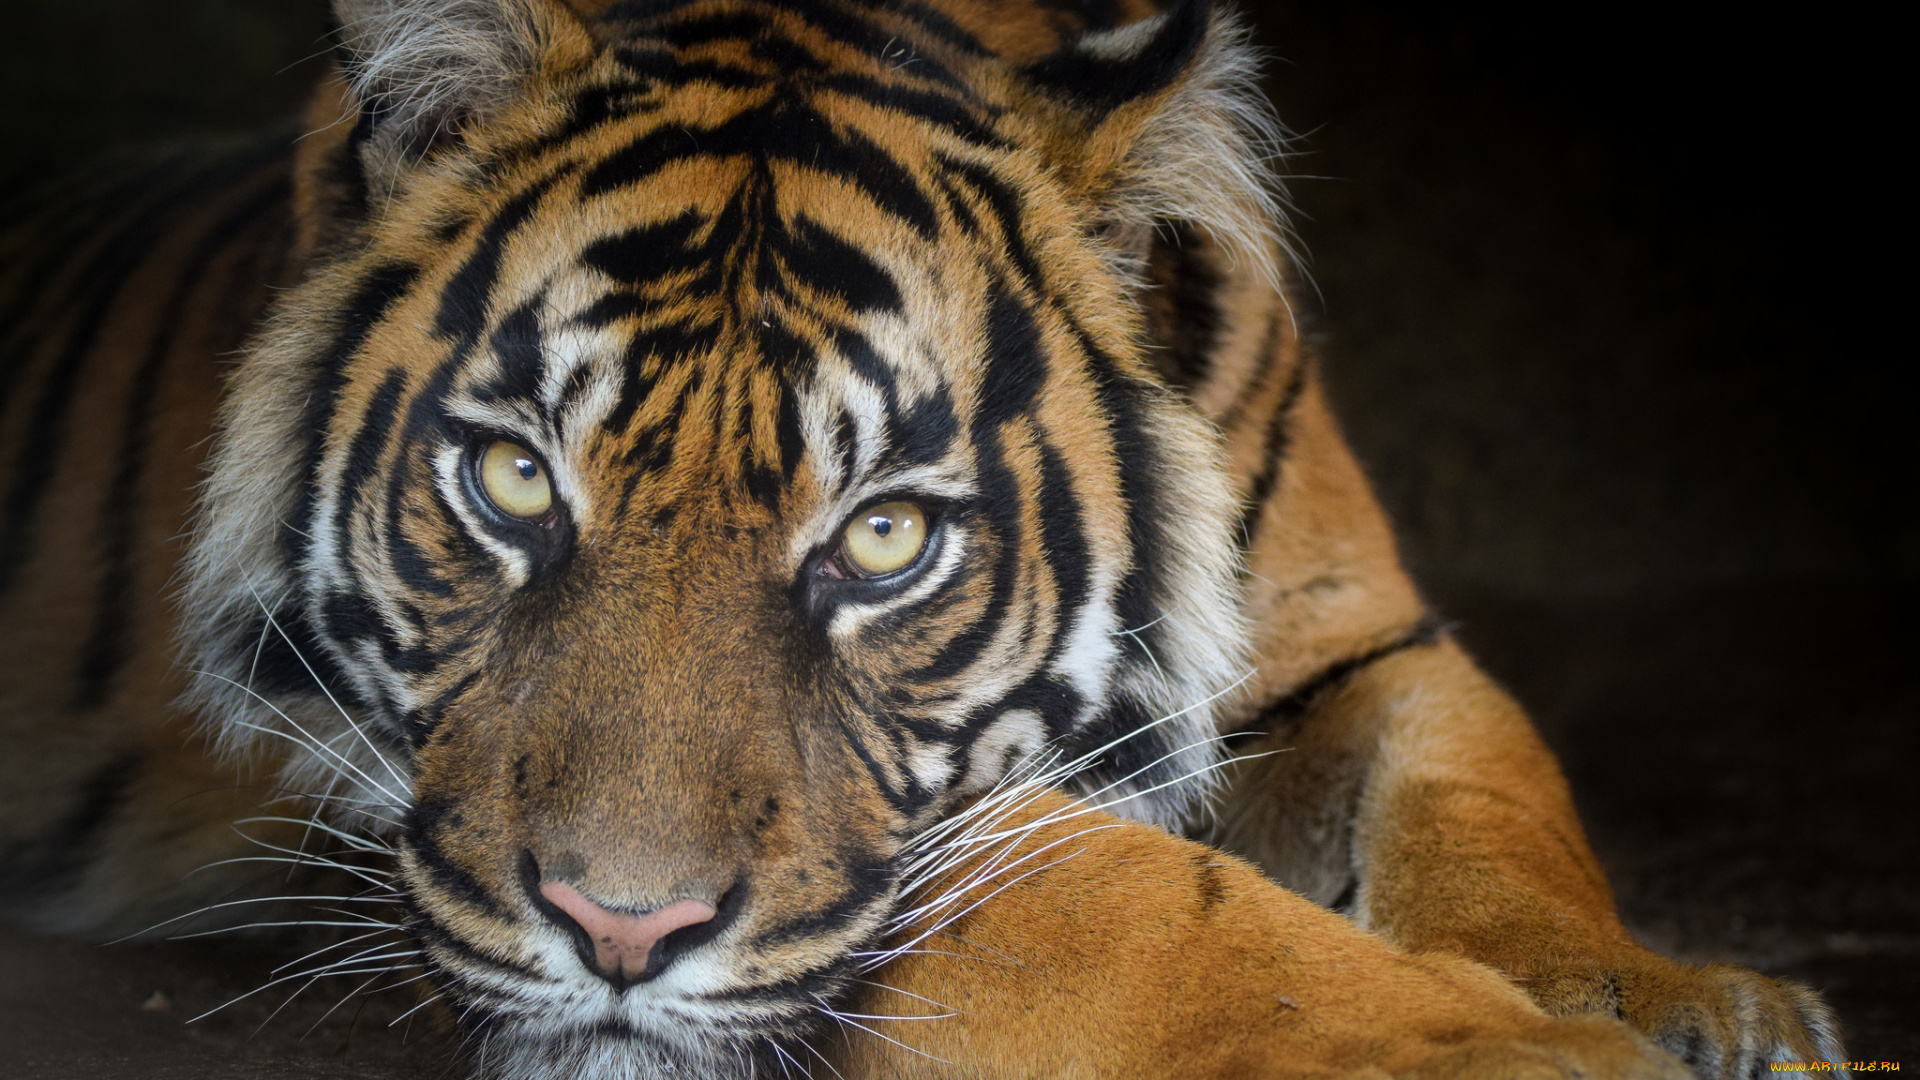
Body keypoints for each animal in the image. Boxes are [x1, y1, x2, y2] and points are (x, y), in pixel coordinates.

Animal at [0, 0, 1845, 1076]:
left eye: (884, 539)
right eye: (515, 484)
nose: (615, 937)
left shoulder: (1358, 641)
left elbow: (1492, 797)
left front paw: (1673, 1001)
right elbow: (1146, 906)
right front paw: (1508, 1052)